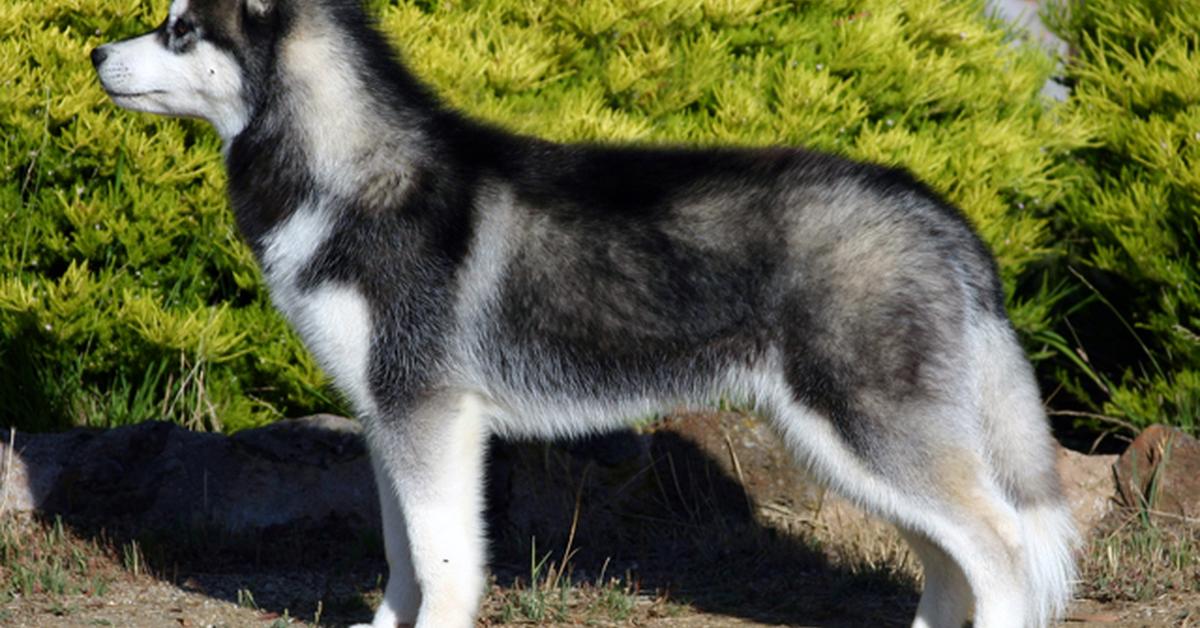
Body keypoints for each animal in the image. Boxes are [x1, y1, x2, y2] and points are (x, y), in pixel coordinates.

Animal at [93, 0, 1084, 624]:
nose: (96, 54)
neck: (347, 174)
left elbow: (443, 570)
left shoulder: (429, 416)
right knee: (951, 559)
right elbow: (404, 568)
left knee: (1000, 551)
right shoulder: (392, 420)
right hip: (848, 445)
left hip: (866, 430)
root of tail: (940, 210)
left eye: (179, 29)